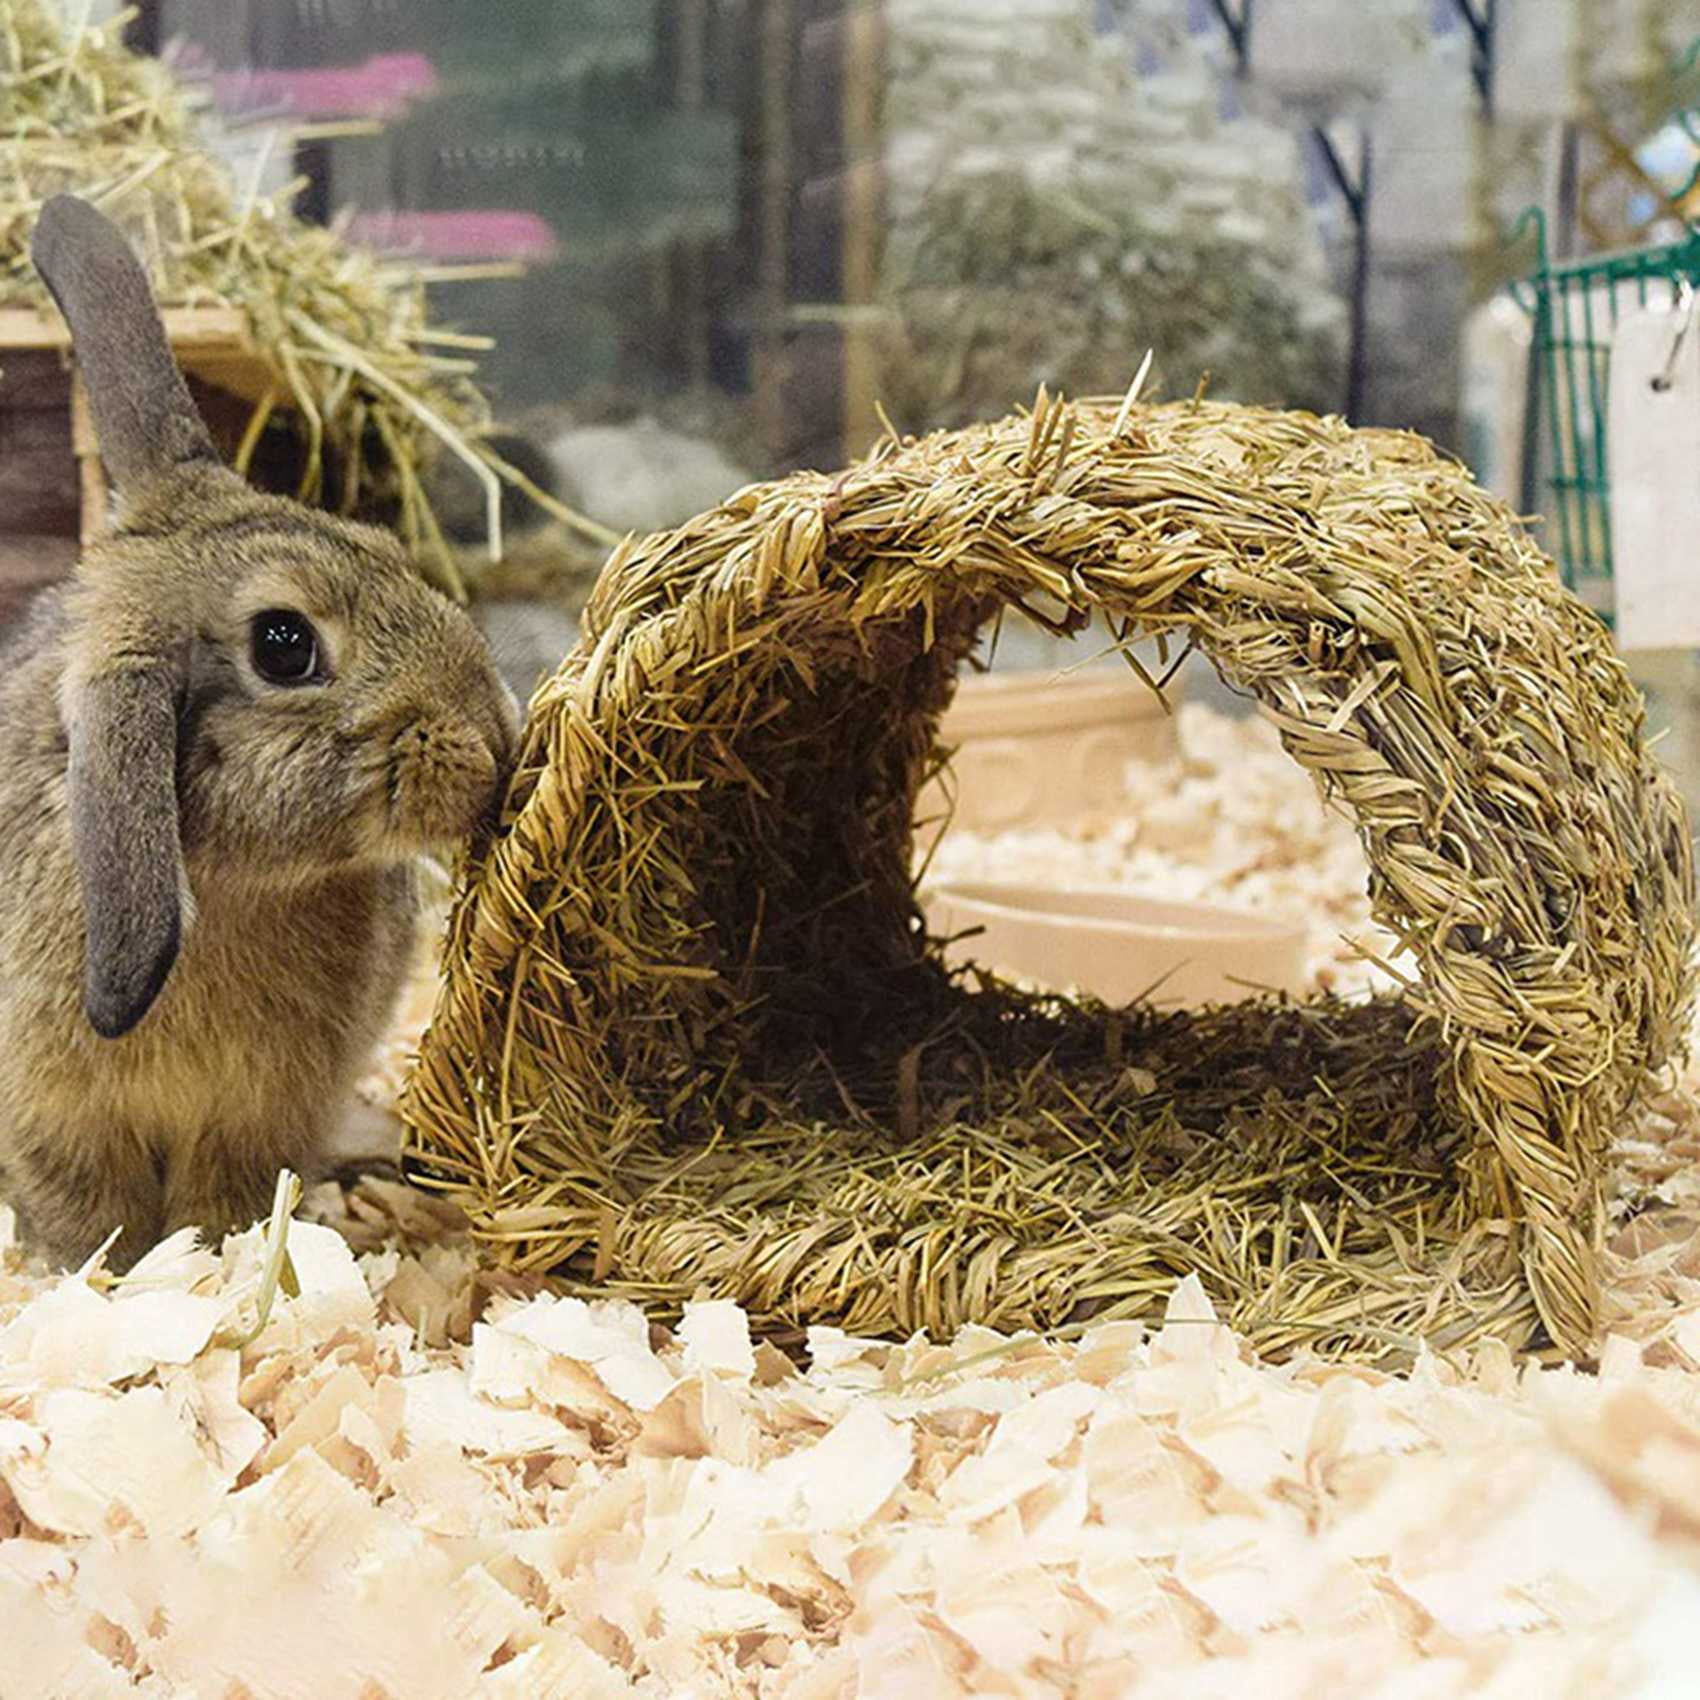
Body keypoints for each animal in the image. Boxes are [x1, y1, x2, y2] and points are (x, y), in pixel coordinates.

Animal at [0, 195, 519, 1271]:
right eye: (284, 645)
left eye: (380, 542)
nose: (495, 734)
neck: (228, 877)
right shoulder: (54, 1120)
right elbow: (87, 1210)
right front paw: (108, 1271)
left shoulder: (254, 1115)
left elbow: (222, 1197)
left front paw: (214, 1253)